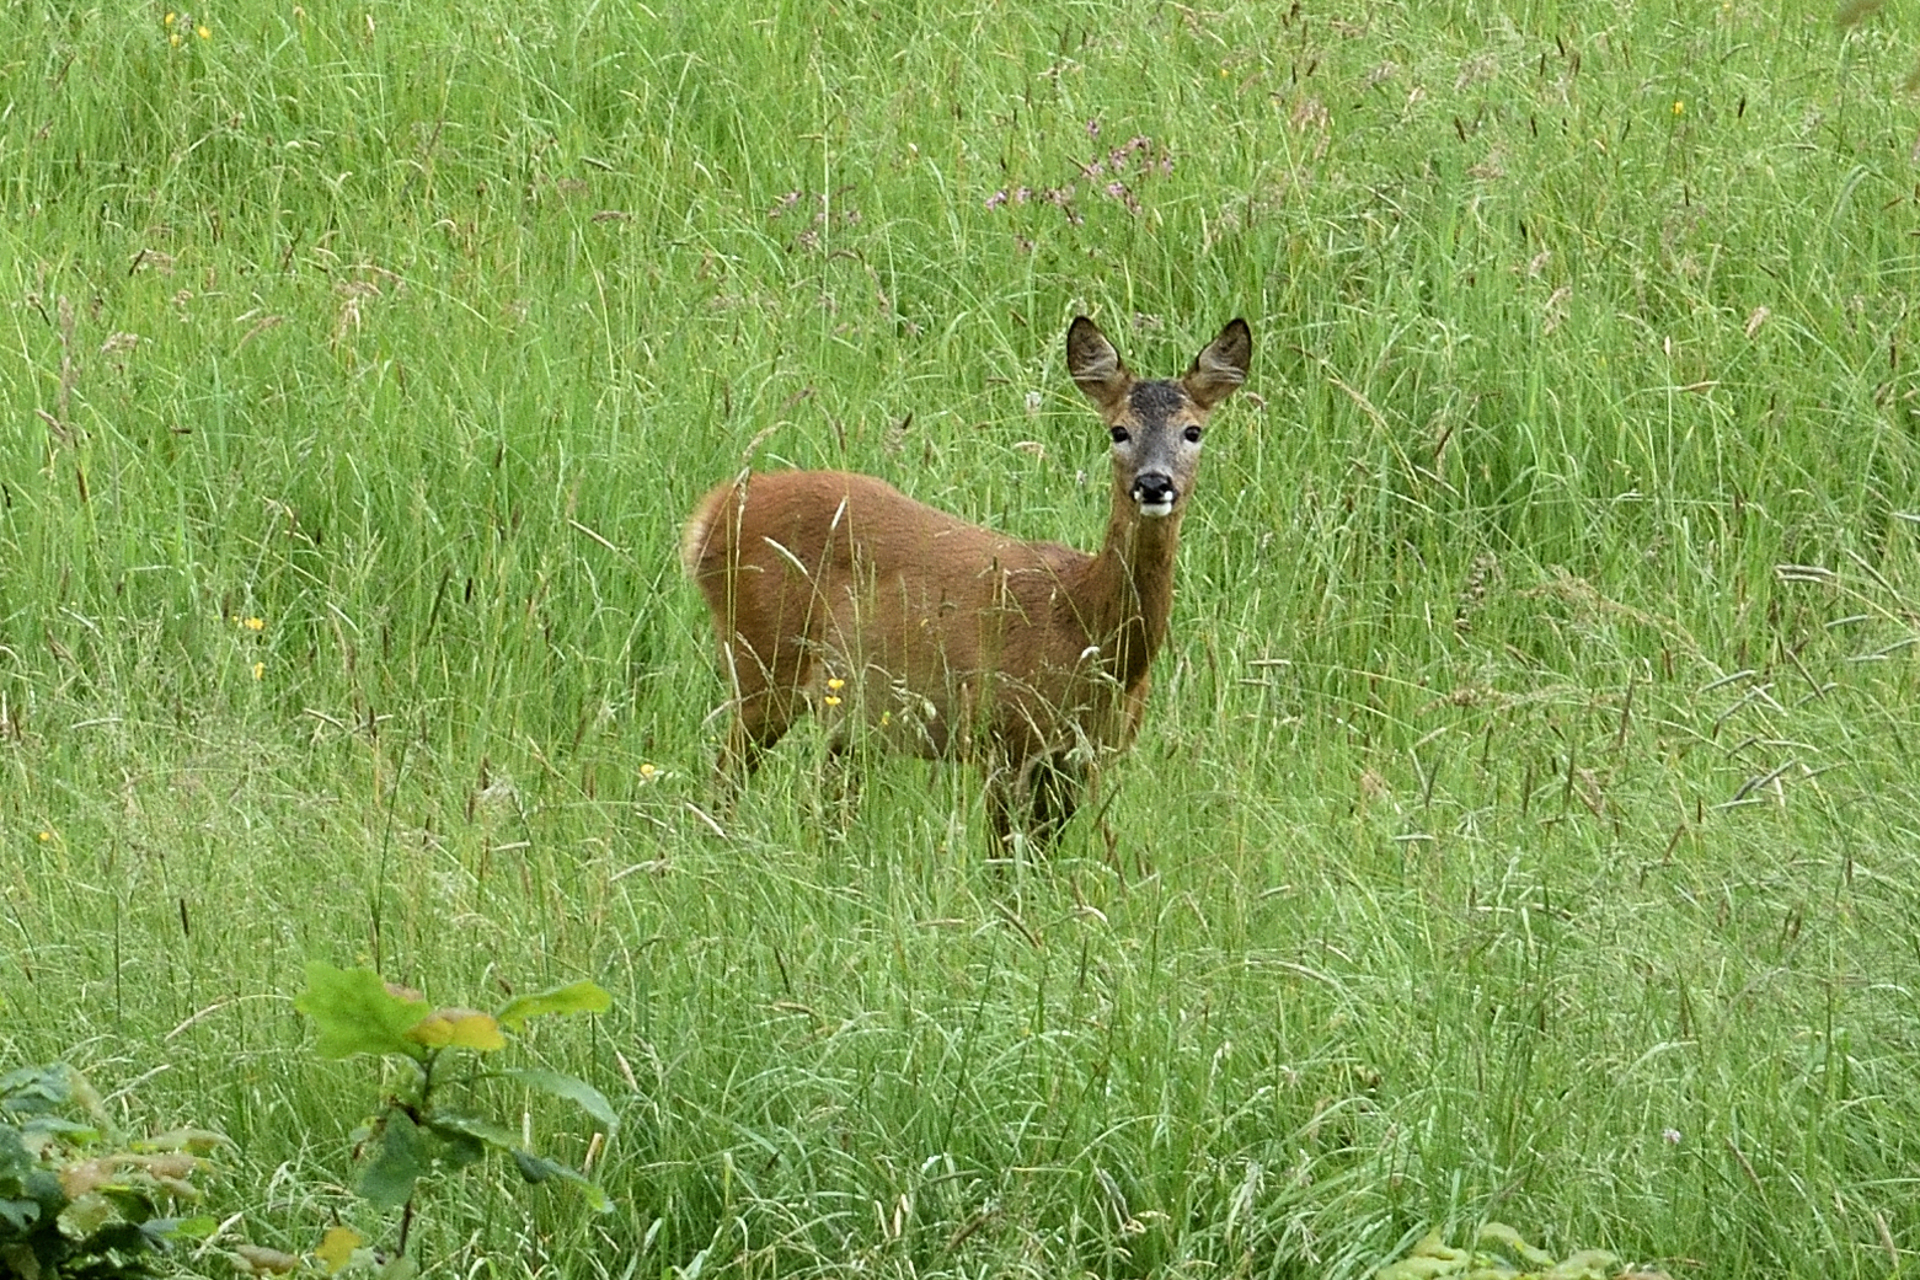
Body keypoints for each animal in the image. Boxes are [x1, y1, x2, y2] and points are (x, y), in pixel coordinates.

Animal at [683, 314, 1251, 844]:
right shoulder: (1001, 737)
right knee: (723, 783)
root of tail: (713, 512)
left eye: (1193, 431)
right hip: (762, 662)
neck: (1082, 626)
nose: (1154, 483)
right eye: (1119, 430)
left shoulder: (1083, 758)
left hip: (848, 714)